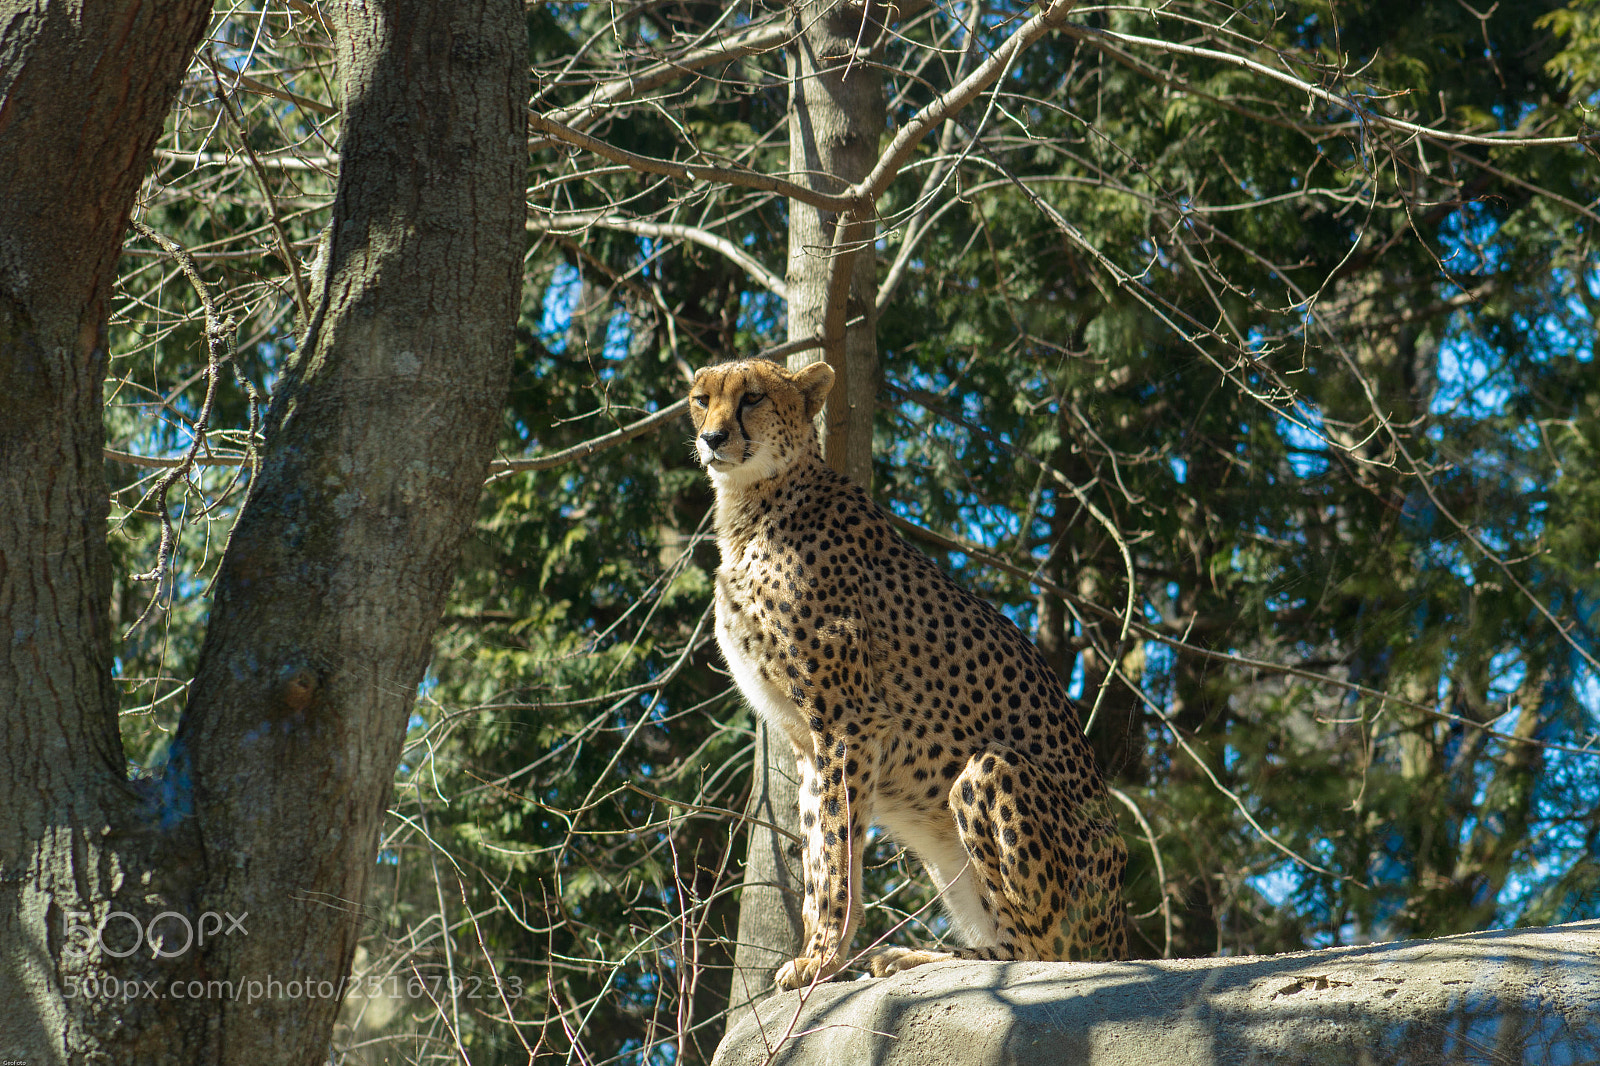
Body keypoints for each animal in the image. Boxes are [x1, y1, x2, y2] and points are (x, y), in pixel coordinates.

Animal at [691, 357, 1129, 991]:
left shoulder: (848, 725)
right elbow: (817, 849)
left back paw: (925, 956)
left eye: (751, 398)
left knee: (1039, 949)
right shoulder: (807, 743)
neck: (755, 501)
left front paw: (824, 958)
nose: (712, 438)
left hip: (988, 771)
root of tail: (1118, 931)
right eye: (701, 399)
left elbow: (837, 853)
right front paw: (816, 952)